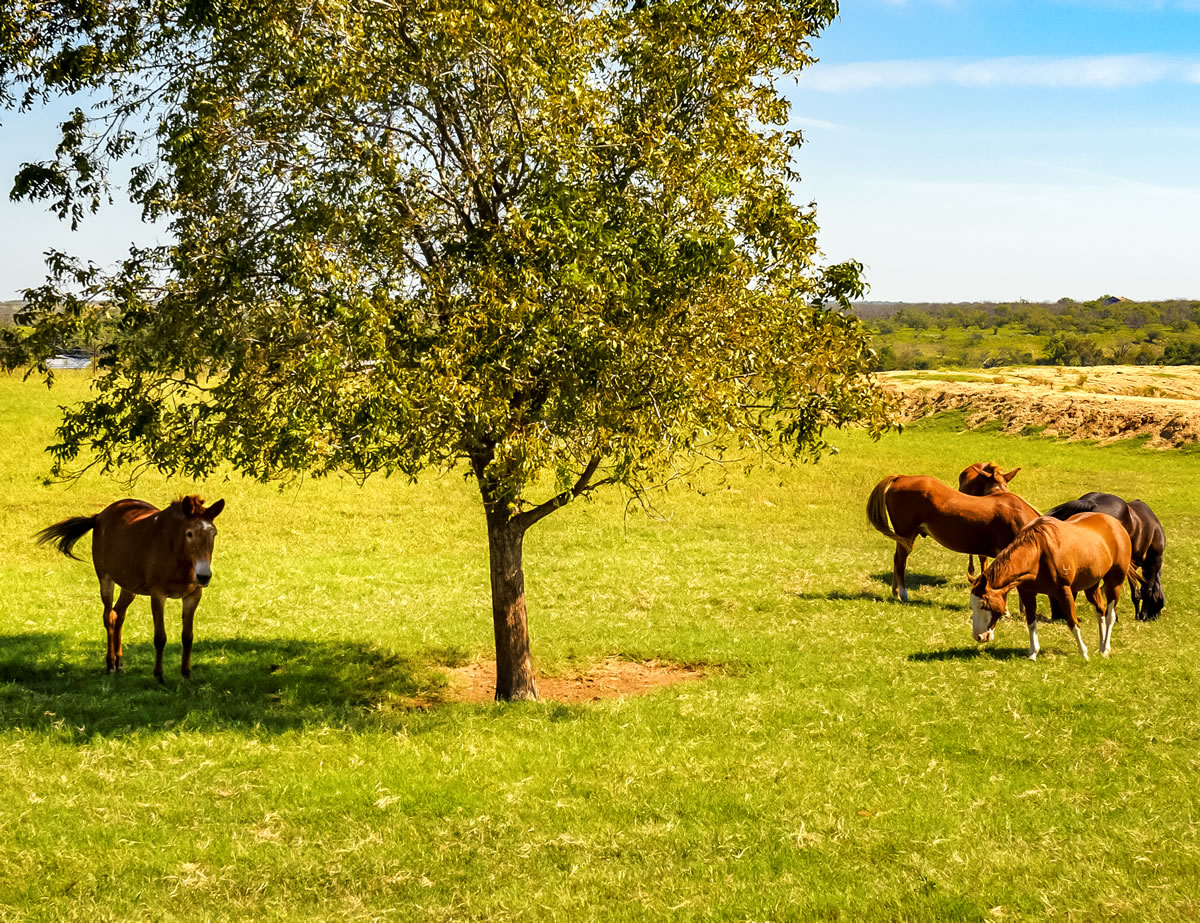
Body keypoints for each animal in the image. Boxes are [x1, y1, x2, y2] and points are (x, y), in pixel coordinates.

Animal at [35, 494, 225, 681]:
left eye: (214, 534)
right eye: (189, 533)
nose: (204, 576)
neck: (177, 556)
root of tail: (100, 516)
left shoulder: (193, 596)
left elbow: (188, 636)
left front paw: (186, 674)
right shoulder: (158, 595)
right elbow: (160, 637)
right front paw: (159, 675)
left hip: (129, 586)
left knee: (118, 615)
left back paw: (119, 663)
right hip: (106, 578)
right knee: (108, 616)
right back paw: (111, 664)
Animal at [864, 470, 1041, 600]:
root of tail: (900, 478)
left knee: (896, 559)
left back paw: (895, 592)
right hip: (906, 535)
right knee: (900, 562)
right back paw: (903, 594)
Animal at [964, 513, 1132, 657]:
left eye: (984, 605)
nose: (979, 636)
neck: (1038, 551)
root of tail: (1116, 524)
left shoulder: (1064, 591)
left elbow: (1073, 622)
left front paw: (1083, 653)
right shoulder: (1027, 593)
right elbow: (1031, 622)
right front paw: (1033, 653)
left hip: (1114, 582)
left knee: (1110, 615)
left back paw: (1105, 649)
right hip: (1091, 585)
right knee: (1100, 611)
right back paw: (1102, 646)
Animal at [1046, 489, 1166, 619]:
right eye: (1160, 604)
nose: (1155, 617)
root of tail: (1092, 502)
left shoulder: (1131, 567)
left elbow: (1135, 592)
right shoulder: (1154, 562)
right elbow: (1147, 590)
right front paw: (1142, 615)